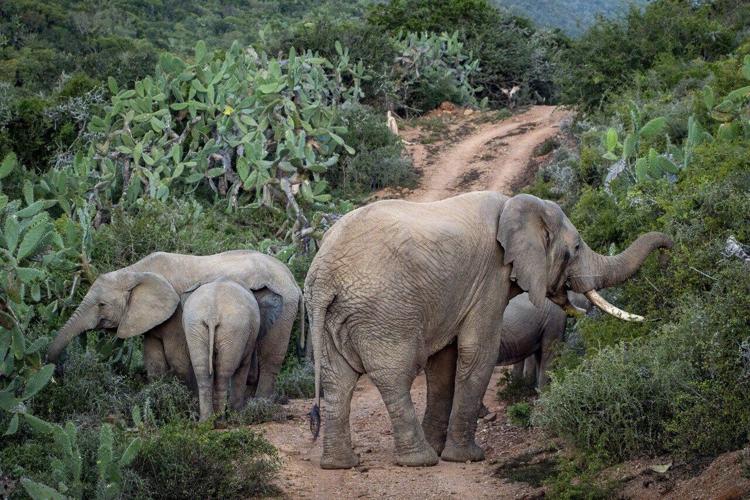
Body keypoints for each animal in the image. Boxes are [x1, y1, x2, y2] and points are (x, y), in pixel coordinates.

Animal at [46, 250, 303, 399]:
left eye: (101, 305)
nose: (56, 374)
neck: (134, 272)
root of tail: (291, 277)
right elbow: (154, 360)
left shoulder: (176, 312)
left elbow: (178, 357)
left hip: (286, 307)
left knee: (271, 356)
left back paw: (260, 404)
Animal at [182, 280, 261, 421]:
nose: (253, 379)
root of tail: (212, 314)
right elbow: (243, 367)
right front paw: (238, 415)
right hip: (234, 328)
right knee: (223, 373)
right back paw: (220, 421)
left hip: (195, 327)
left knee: (203, 371)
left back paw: (206, 421)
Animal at [304, 191, 672, 469]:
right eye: (577, 248)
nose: (669, 248)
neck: (515, 206)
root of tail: (324, 271)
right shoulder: (491, 276)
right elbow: (478, 350)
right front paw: (465, 458)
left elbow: (444, 362)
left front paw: (444, 448)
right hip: (384, 312)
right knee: (393, 377)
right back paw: (420, 461)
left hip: (331, 315)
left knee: (337, 382)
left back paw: (340, 465)